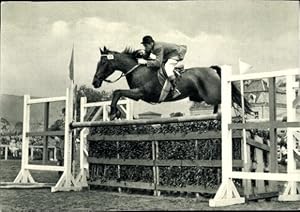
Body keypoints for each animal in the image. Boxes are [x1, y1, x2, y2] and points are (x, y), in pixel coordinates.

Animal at [92, 46, 252, 120]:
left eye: (103, 62)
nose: (95, 82)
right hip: (203, 97)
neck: (137, 69)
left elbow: (117, 92)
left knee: (231, 98)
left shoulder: (140, 93)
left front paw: (113, 113)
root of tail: (211, 70)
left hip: (212, 95)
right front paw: (115, 113)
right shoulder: (138, 94)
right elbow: (118, 93)